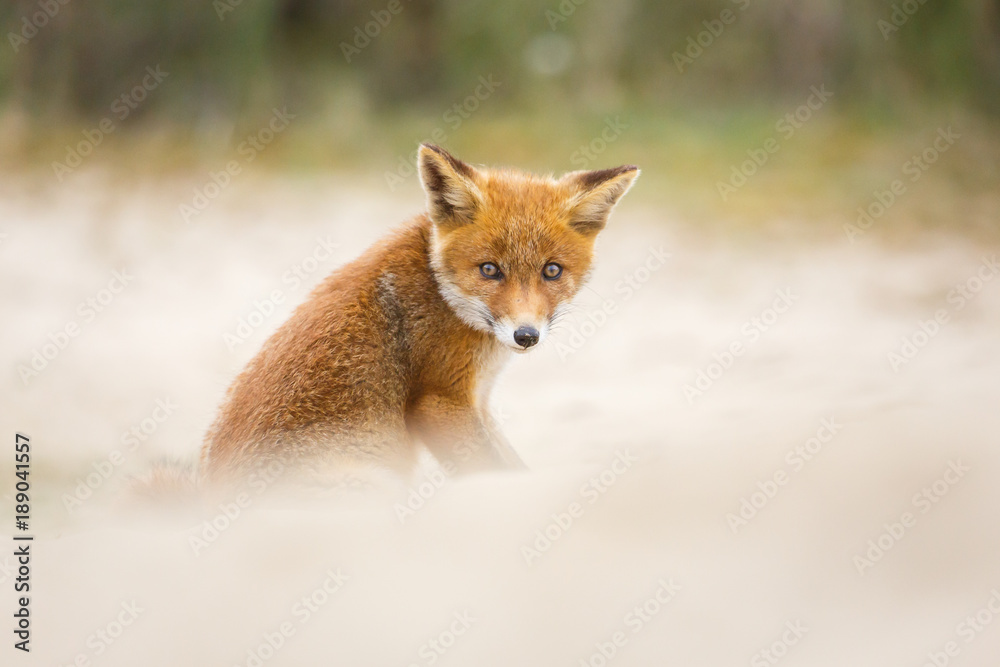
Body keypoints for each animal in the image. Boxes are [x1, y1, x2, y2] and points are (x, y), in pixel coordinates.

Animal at [195, 144, 638, 488]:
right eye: (489, 270)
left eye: (552, 271)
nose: (526, 335)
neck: (441, 292)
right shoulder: (440, 400)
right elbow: (496, 473)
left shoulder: (478, 402)